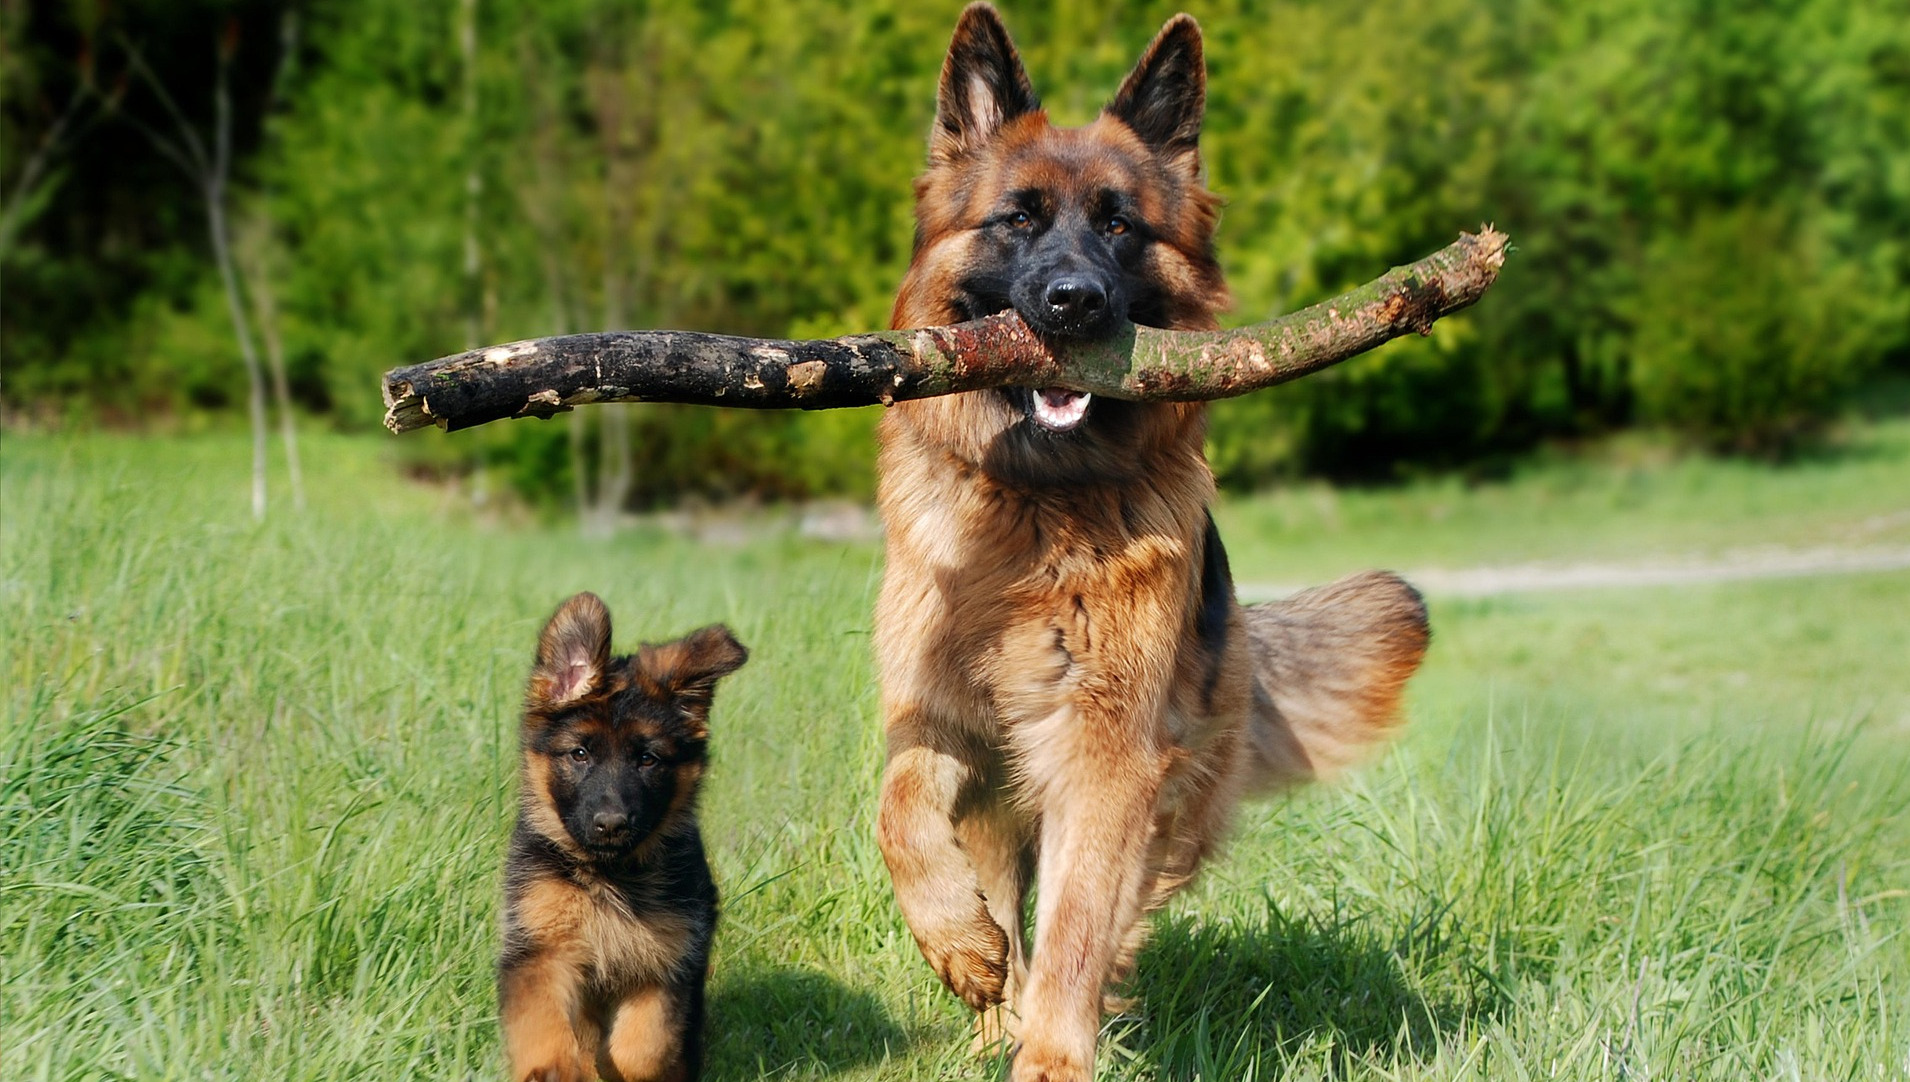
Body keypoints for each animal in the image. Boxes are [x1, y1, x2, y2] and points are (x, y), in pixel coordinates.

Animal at [500, 596, 744, 1082]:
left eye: (648, 760)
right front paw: (557, 1067)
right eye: (580, 754)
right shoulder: (540, 949)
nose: (611, 824)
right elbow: (544, 1022)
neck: (609, 876)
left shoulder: (669, 961)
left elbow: (642, 1047)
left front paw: (620, 1068)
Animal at [874, 4, 1428, 1078]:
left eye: (1119, 226)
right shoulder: (942, 718)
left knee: (1111, 910)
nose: (1074, 302)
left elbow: (1077, 925)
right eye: (1018, 219)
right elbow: (900, 808)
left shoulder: (1106, 752)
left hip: (1168, 791)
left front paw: (1052, 1056)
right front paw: (959, 944)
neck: (1038, 506)